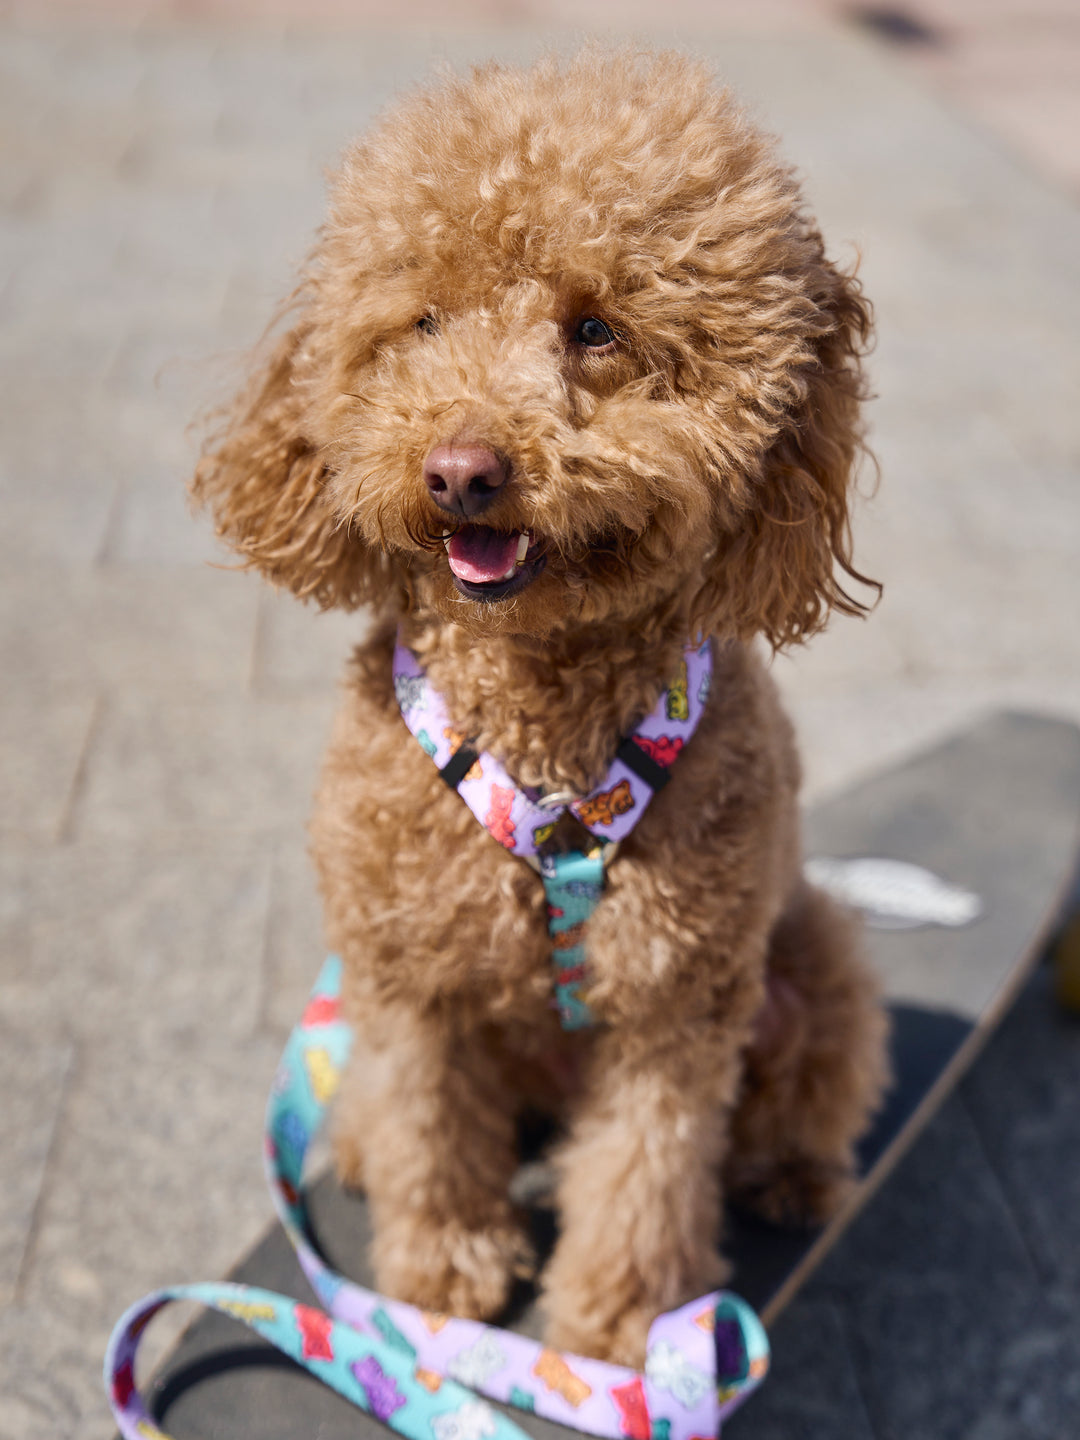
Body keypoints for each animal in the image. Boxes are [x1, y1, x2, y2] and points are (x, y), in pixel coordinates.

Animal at [192, 50, 887, 1365]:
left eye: (597, 328)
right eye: (419, 322)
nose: (460, 471)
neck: (542, 723)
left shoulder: (674, 1001)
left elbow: (646, 1172)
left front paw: (625, 1331)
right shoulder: (409, 973)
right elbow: (429, 1125)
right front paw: (439, 1276)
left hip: (810, 954)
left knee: (803, 1087)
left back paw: (795, 1179)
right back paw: (356, 1146)